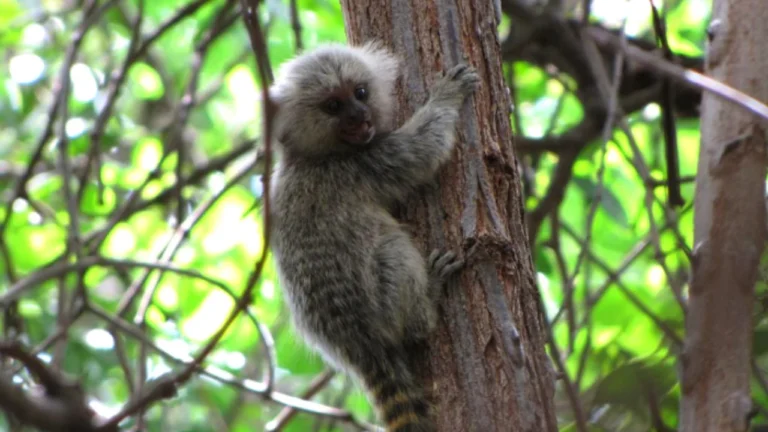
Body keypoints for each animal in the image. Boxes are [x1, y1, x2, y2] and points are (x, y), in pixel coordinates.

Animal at [268, 42, 479, 432]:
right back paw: (429, 297)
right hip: (380, 301)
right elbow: (423, 150)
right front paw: (446, 96)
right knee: (393, 254)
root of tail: (361, 345)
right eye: (334, 106)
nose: (358, 114)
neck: (311, 155)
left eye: (361, 92)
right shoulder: (368, 164)